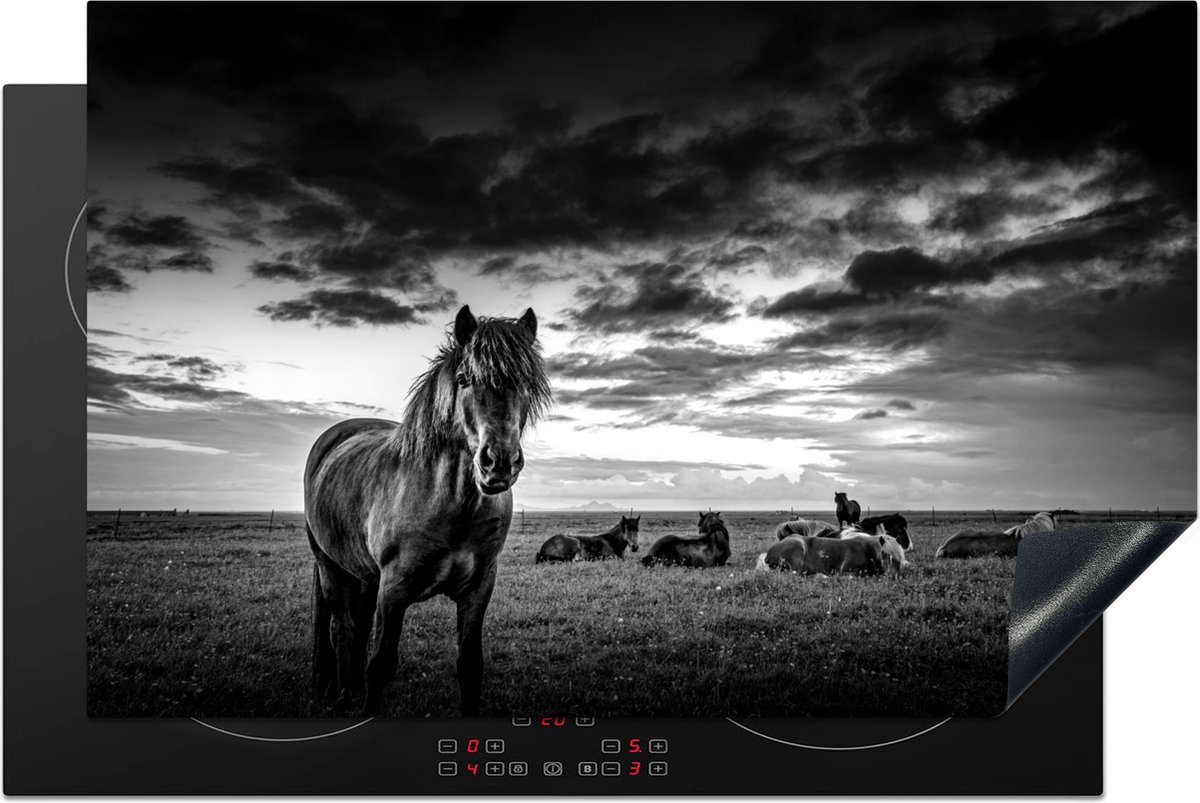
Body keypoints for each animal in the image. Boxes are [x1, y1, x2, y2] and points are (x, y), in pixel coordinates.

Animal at [305, 304, 551, 716]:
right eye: (465, 379)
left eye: (527, 386)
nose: (499, 462)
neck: (452, 507)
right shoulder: (394, 591)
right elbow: (380, 667)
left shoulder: (478, 588)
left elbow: (470, 667)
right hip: (330, 565)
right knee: (342, 630)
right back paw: (342, 698)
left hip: (365, 577)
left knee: (357, 629)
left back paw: (350, 691)